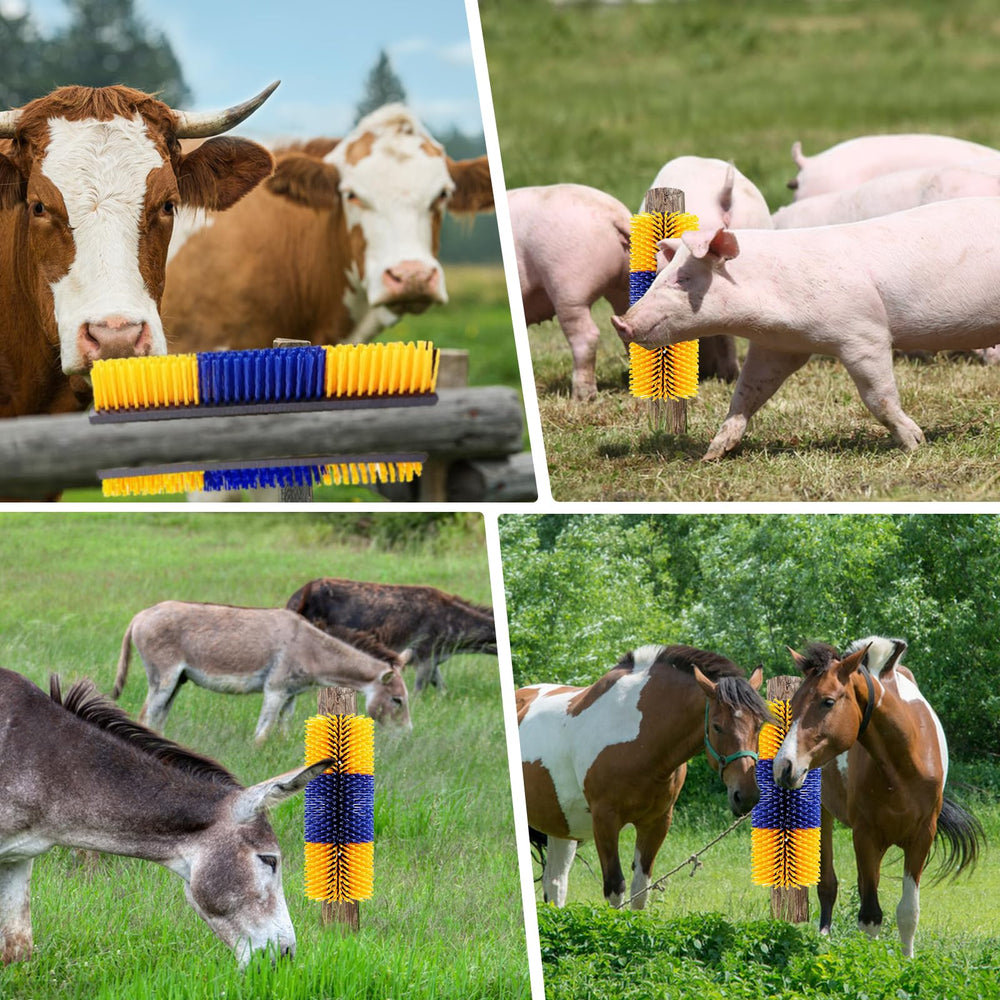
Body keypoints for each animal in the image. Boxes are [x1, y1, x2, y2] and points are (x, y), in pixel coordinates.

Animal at [517, 643, 773, 909]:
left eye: (758, 725)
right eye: (717, 726)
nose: (746, 795)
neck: (639, 737)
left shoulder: (656, 822)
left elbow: (640, 890)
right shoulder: (605, 821)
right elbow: (615, 888)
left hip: (561, 826)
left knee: (555, 883)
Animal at [774, 636, 983, 957]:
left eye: (828, 701)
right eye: (793, 704)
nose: (784, 766)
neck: (904, 764)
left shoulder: (921, 837)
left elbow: (908, 912)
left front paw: (908, 962)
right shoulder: (866, 836)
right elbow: (870, 915)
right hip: (825, 814)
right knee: (828, 885)